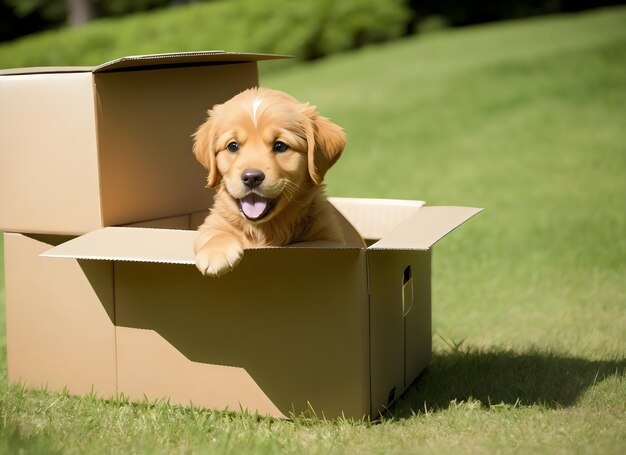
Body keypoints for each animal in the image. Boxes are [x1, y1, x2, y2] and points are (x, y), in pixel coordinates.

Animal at [191, 87, 346, 276]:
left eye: (280, 146)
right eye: (232, 146)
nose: (251, 177)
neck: (265, 229)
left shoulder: (329, 236)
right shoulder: (212, 222)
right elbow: (214, 233)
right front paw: (215, 254)